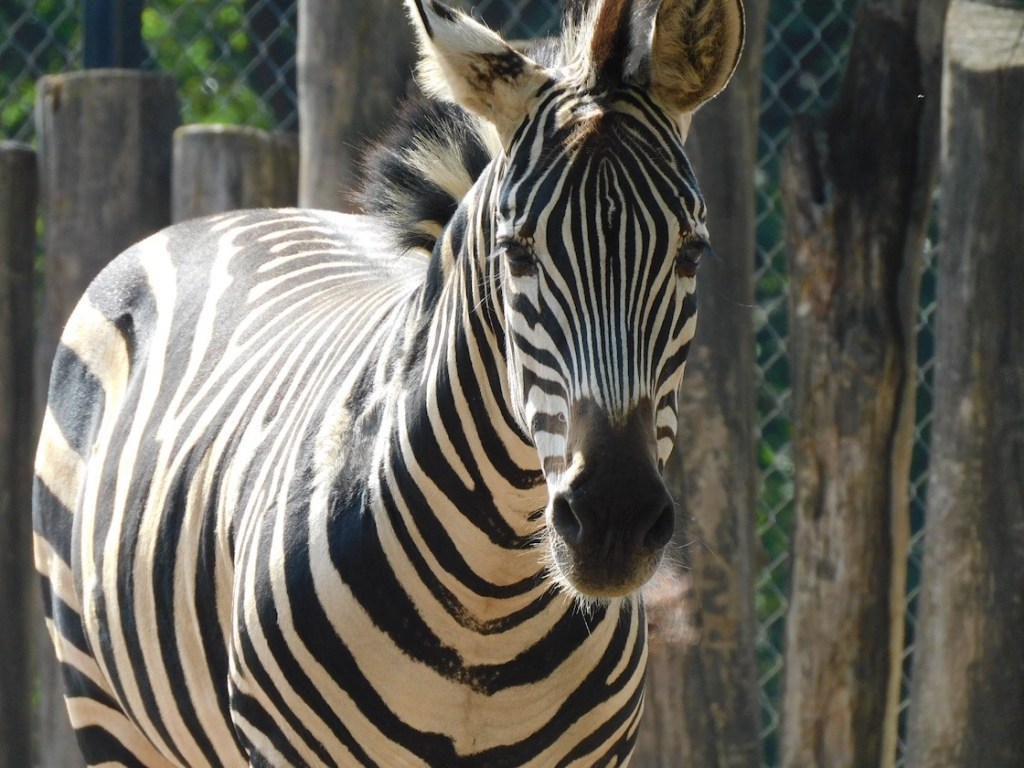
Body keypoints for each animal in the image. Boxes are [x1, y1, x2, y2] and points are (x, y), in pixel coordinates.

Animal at [34, 1, 745, 765]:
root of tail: (229, 217)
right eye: (515, 251)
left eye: (692, 252)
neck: (491, 611)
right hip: (101, 702)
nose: (614, 522)